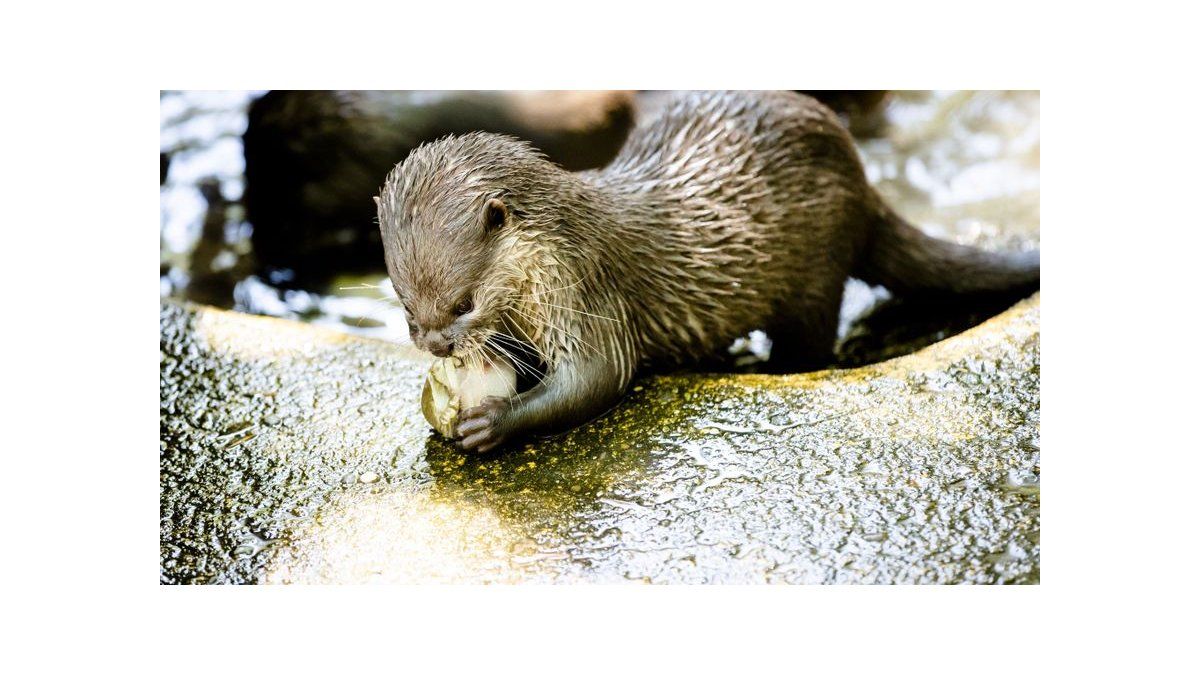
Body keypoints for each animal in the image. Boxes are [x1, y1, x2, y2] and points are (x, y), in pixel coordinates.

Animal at [376, 86, 1041, 449]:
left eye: (463, 303)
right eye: (407, 309)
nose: (436, 345)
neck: (551, 246)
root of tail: (862, 178)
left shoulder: (585, 286)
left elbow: (598, 377)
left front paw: (491, 420)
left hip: (817, 272)